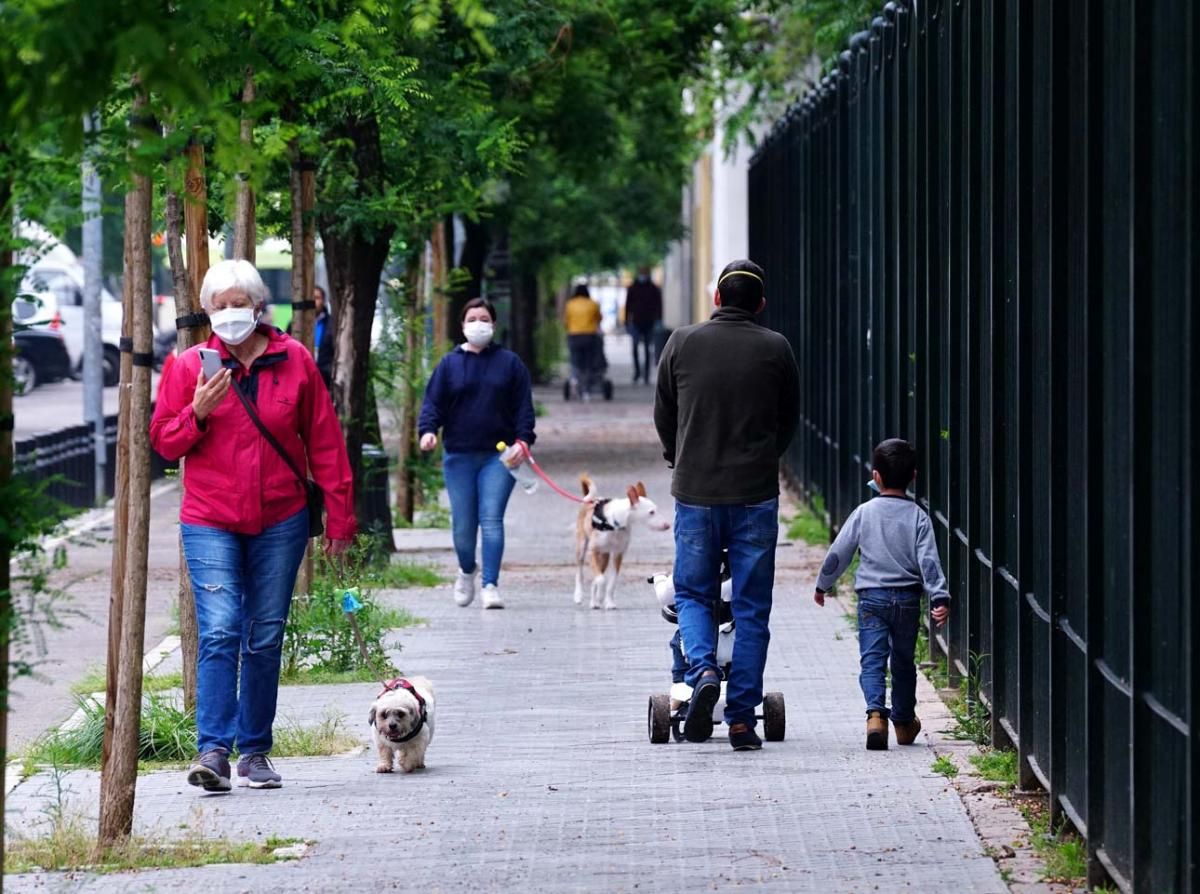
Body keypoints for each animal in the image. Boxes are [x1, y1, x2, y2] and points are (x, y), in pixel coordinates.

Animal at [573, 477, 672, 609]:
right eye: (651, 512)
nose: (667, 525)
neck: (615, 524)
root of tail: (590, 500)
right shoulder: (592, 551)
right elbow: (601, 580)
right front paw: (600, 596)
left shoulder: (618, 554)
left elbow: (611, 583)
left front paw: (608, 602)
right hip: (582, 547)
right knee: (580, 572)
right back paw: (579, 596)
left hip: (604, 556)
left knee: (597, 576)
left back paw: (594, 602)